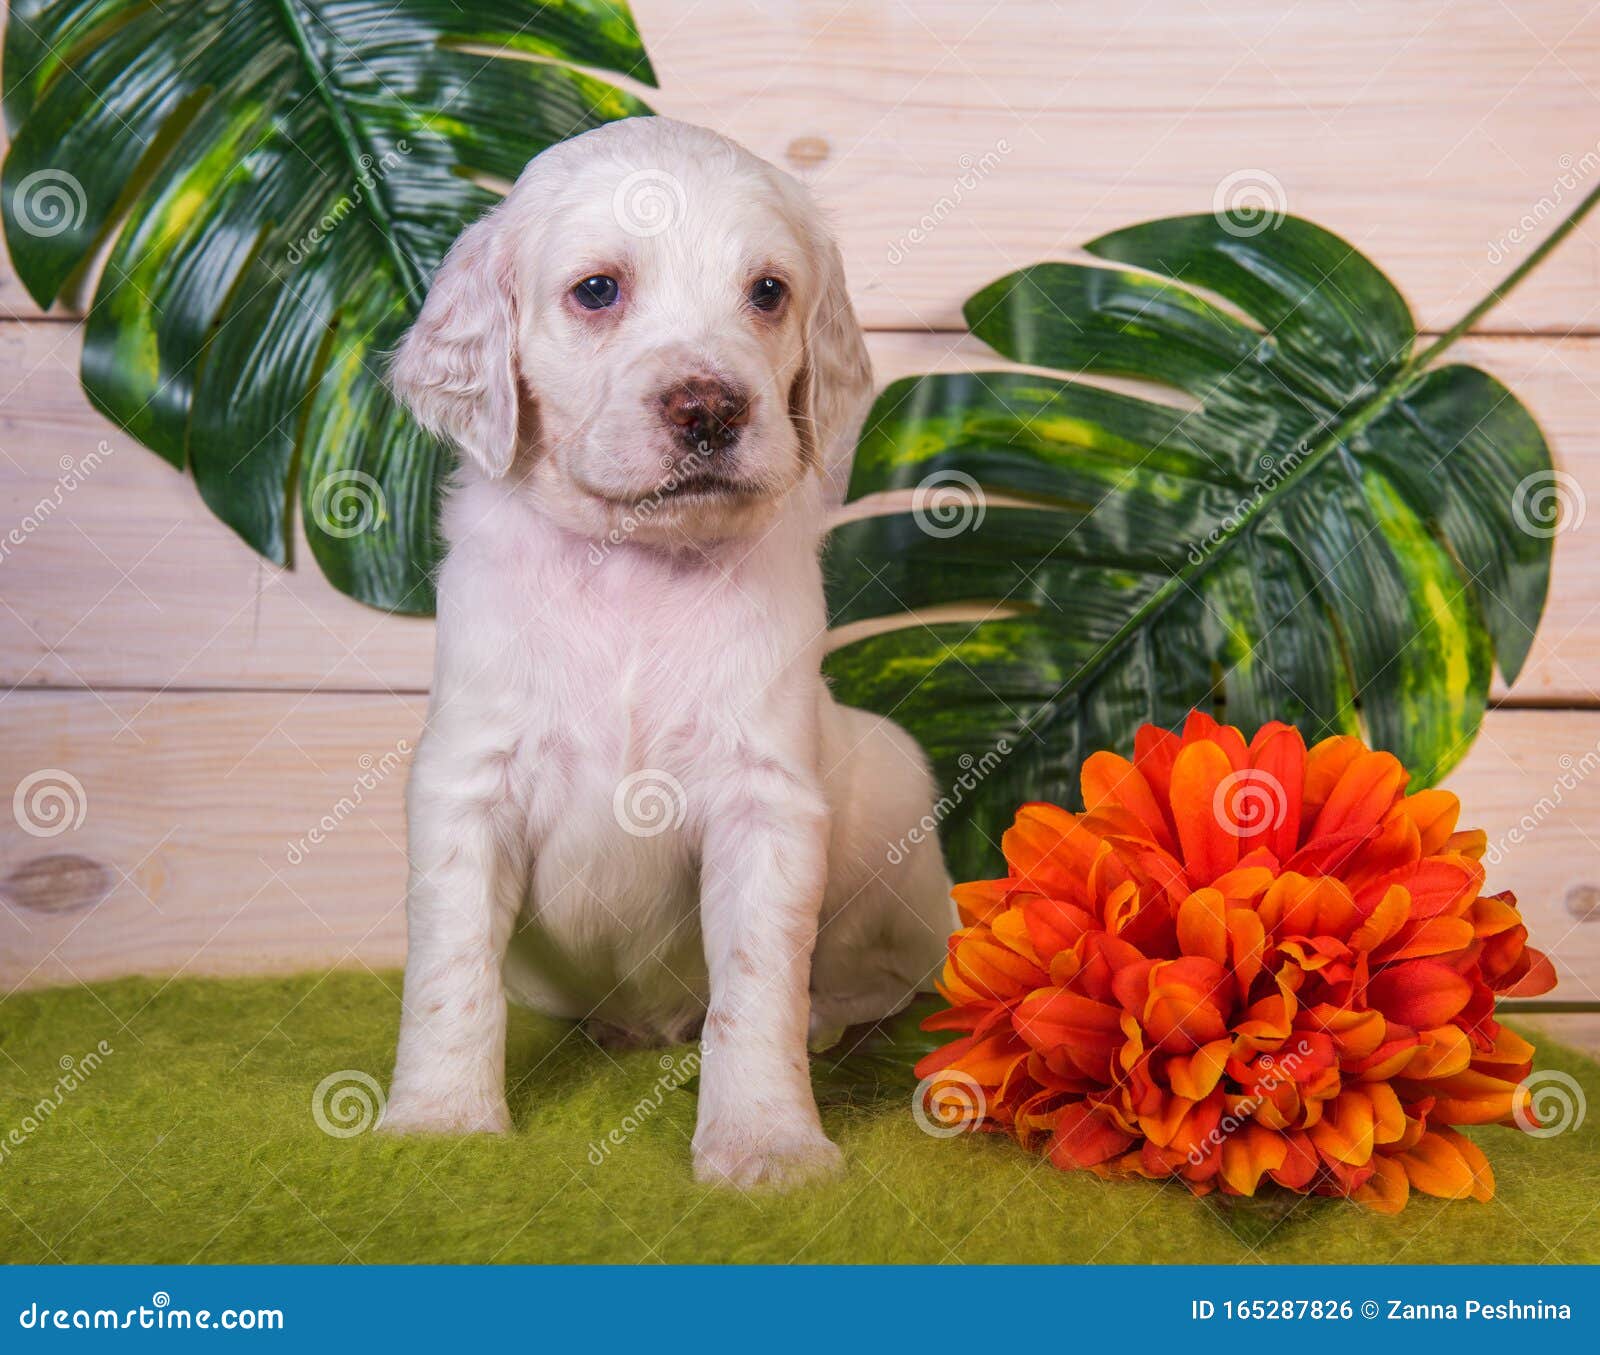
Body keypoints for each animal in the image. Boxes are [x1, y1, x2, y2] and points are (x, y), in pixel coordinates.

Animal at [380, 121, 953, 1190]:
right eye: (598, 290)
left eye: (767, 291)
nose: (710, 408)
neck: (636, 568)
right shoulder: (467, 782)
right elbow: (451, 967)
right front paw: (439, 1119)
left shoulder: (764, 802)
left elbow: (758, 989)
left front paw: (767, 1140)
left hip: (896, 789)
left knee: (885, 981)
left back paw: (828, 1019)